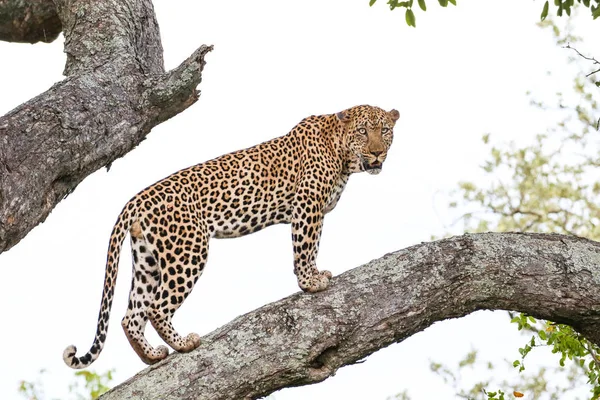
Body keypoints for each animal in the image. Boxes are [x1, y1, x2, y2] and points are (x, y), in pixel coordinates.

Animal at [63, 104, 400, 368]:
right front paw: (310, 282)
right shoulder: (307, 205)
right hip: (188, 251)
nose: (377, 153)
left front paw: (314, 277)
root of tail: (135, 200)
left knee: (131, 316)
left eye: (384, 130)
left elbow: (312, 245)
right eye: (362, 132)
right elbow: (306, 246)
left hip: (148, 260)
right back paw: (183, 343)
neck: (343, 155)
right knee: (157, 307)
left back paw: (151, 355)